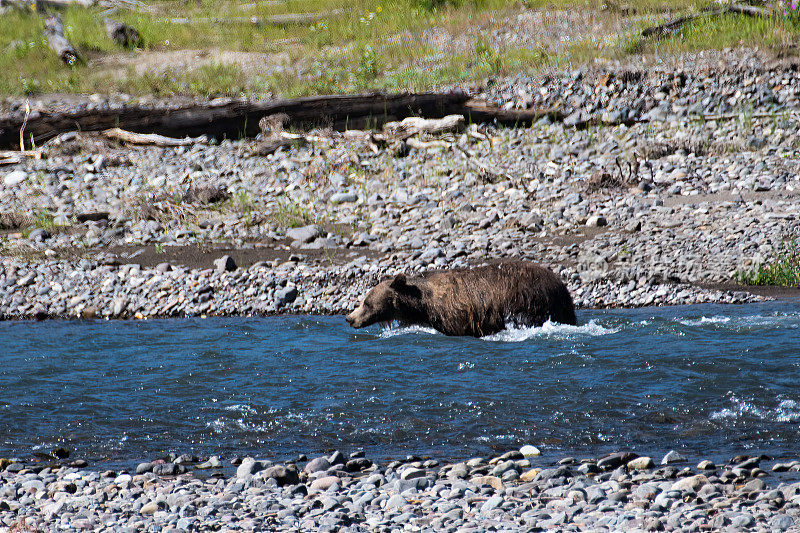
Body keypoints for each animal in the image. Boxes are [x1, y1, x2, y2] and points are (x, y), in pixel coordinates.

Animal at [344, 258, 576, 336]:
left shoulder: (455, 314)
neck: (422, 305)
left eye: (366, 302)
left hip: (528, 301)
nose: (349, 318)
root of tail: (561, 285)